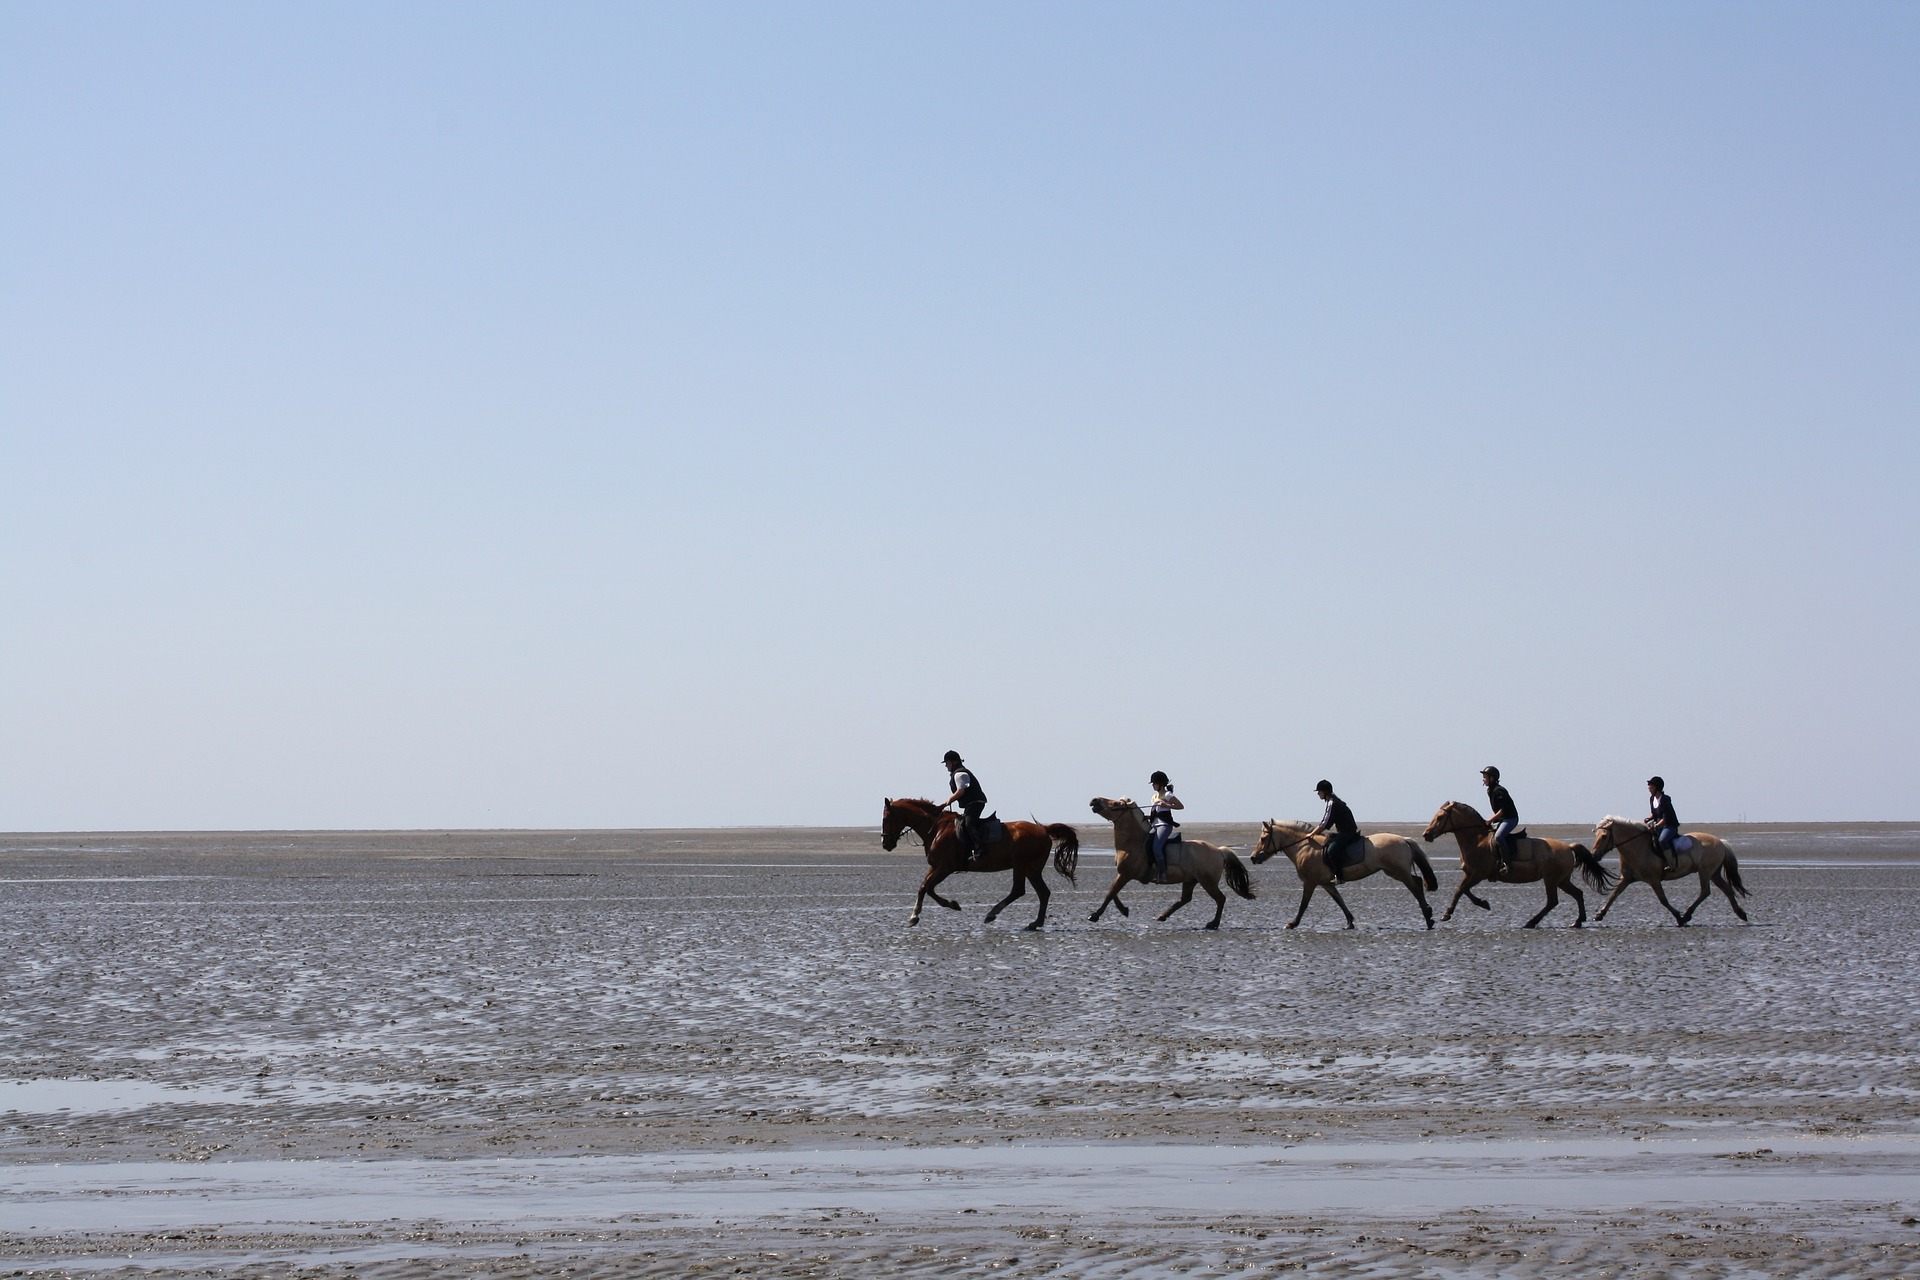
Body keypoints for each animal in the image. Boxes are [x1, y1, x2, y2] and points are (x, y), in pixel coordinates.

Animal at [879, 802, 1082, 932]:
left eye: (886, 818)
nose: (885, 844)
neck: (936, 829)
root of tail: (1044, 829)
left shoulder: (945, 867)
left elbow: (929, 888)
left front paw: (953, 905)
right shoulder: (935, 866)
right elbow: (922, 887)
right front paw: (914, 917)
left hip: (1022, 865)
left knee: (1019, 890)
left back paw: (993, 914)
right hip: (1032, 869)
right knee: (1042, 892)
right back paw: (1035, 923)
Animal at [1090, 790, 1251, 932]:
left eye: (1117, 803)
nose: (1094, 800)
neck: (1133, 843)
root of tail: (1219, 850)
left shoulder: (1125, 875)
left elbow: (1110, 893)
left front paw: (1095, 915)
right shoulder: (1122, 874)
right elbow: (1113, 892)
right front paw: (1124, 910)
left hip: (1208, 882)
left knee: (1220, 899)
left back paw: (1213, 923)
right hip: (1190, 880)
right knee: (1186, 898)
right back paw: (1163, 915)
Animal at [1251, 821, 1436, 932]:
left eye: (1264, 838)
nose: (1253, 857)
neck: (1304, 846)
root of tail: (1404, 839)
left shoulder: (1310, 882)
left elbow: (1303, 905)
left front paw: (1292, 923)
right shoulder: (1326, 883)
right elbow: (1339, 900)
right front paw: (1350, 922)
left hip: (1398, 871)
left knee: (1415, 886)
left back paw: (1428, 917)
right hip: (1395, 871)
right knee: (1417, 883)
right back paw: (1428, 916)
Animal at [1420, 802, 1612, 932]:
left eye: (1440, 818)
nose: (1426, 834)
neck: (1477, 840)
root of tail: (1568, 847)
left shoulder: (1478, 874)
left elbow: (1461, 890)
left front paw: (1448, 913)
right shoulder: (1470, 874)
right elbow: (1463, 890)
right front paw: (1482, 904)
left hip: (1551, 879)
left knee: (1553, 901)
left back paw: (1532, 922)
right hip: (1561, 880)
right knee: (1577, 894)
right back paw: (1578, 921)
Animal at [1582, 821, 1751, 932]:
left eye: (1604, 836)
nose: (1594, 855)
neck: (1637, 847)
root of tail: (1720, 842)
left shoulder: (1654, 880)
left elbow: (1663, 900)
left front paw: (1678, 917)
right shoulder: (1627, 879)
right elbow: (1614, 895)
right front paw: (1599, 915)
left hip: (1705, 872)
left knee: (1705, 891)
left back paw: (1687, 915)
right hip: (1714, 873)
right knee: (1726, 889)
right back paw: (1741, 913)